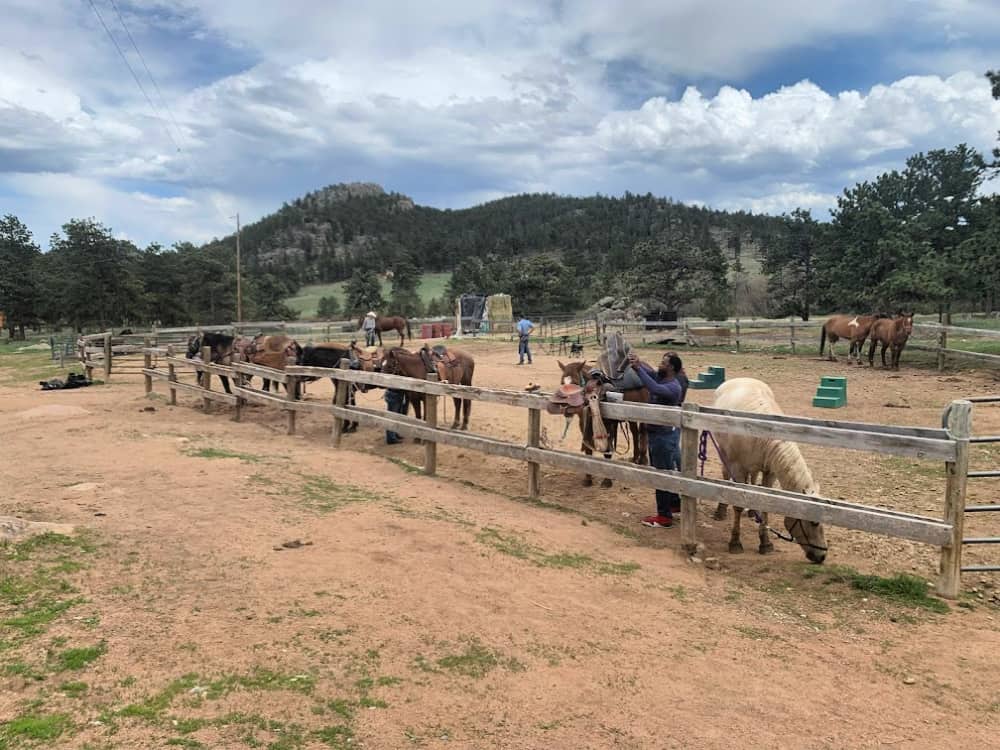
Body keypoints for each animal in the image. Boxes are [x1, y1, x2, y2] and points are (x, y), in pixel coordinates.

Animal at [708, 382, 824, 564]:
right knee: (726, 475)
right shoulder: (737, 467)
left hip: (754, 467)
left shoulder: (770, 472)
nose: (822, 556)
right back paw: (721, 510)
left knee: (753, 480)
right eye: (813, 522)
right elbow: (737, 506)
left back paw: (751, 512)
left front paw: (765, 543)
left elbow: (765, 503)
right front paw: (735, 542)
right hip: (724, 453)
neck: (762, 435)